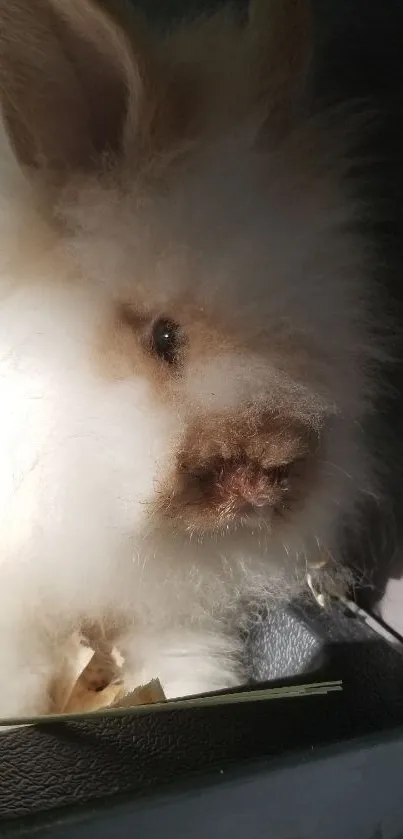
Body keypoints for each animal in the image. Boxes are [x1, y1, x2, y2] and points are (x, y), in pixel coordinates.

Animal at [0, 0, 382, 720]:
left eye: (321, 332)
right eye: (164, 337)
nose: (263, 478)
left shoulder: (170, 609)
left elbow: (184, 661)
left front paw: (187, 690)